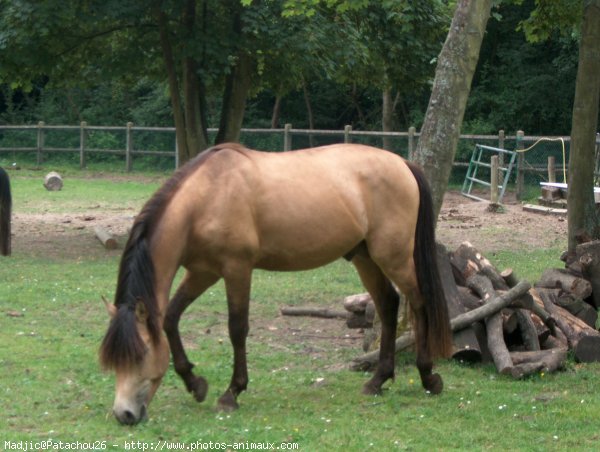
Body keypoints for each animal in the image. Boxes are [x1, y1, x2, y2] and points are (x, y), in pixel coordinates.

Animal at [98, 143, 450, 426]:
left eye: (140, 354)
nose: (124, 415)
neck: (207, 196)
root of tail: (402, 163)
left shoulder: (236, 269)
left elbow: (237, 328)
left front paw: (232, 393)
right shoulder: (202, 272)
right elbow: (170, 318)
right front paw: (195, 384)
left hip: (394, 257)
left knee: (419, 303)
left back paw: (428, 376)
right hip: (365, 257)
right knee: (389, 305)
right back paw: (378, 381)